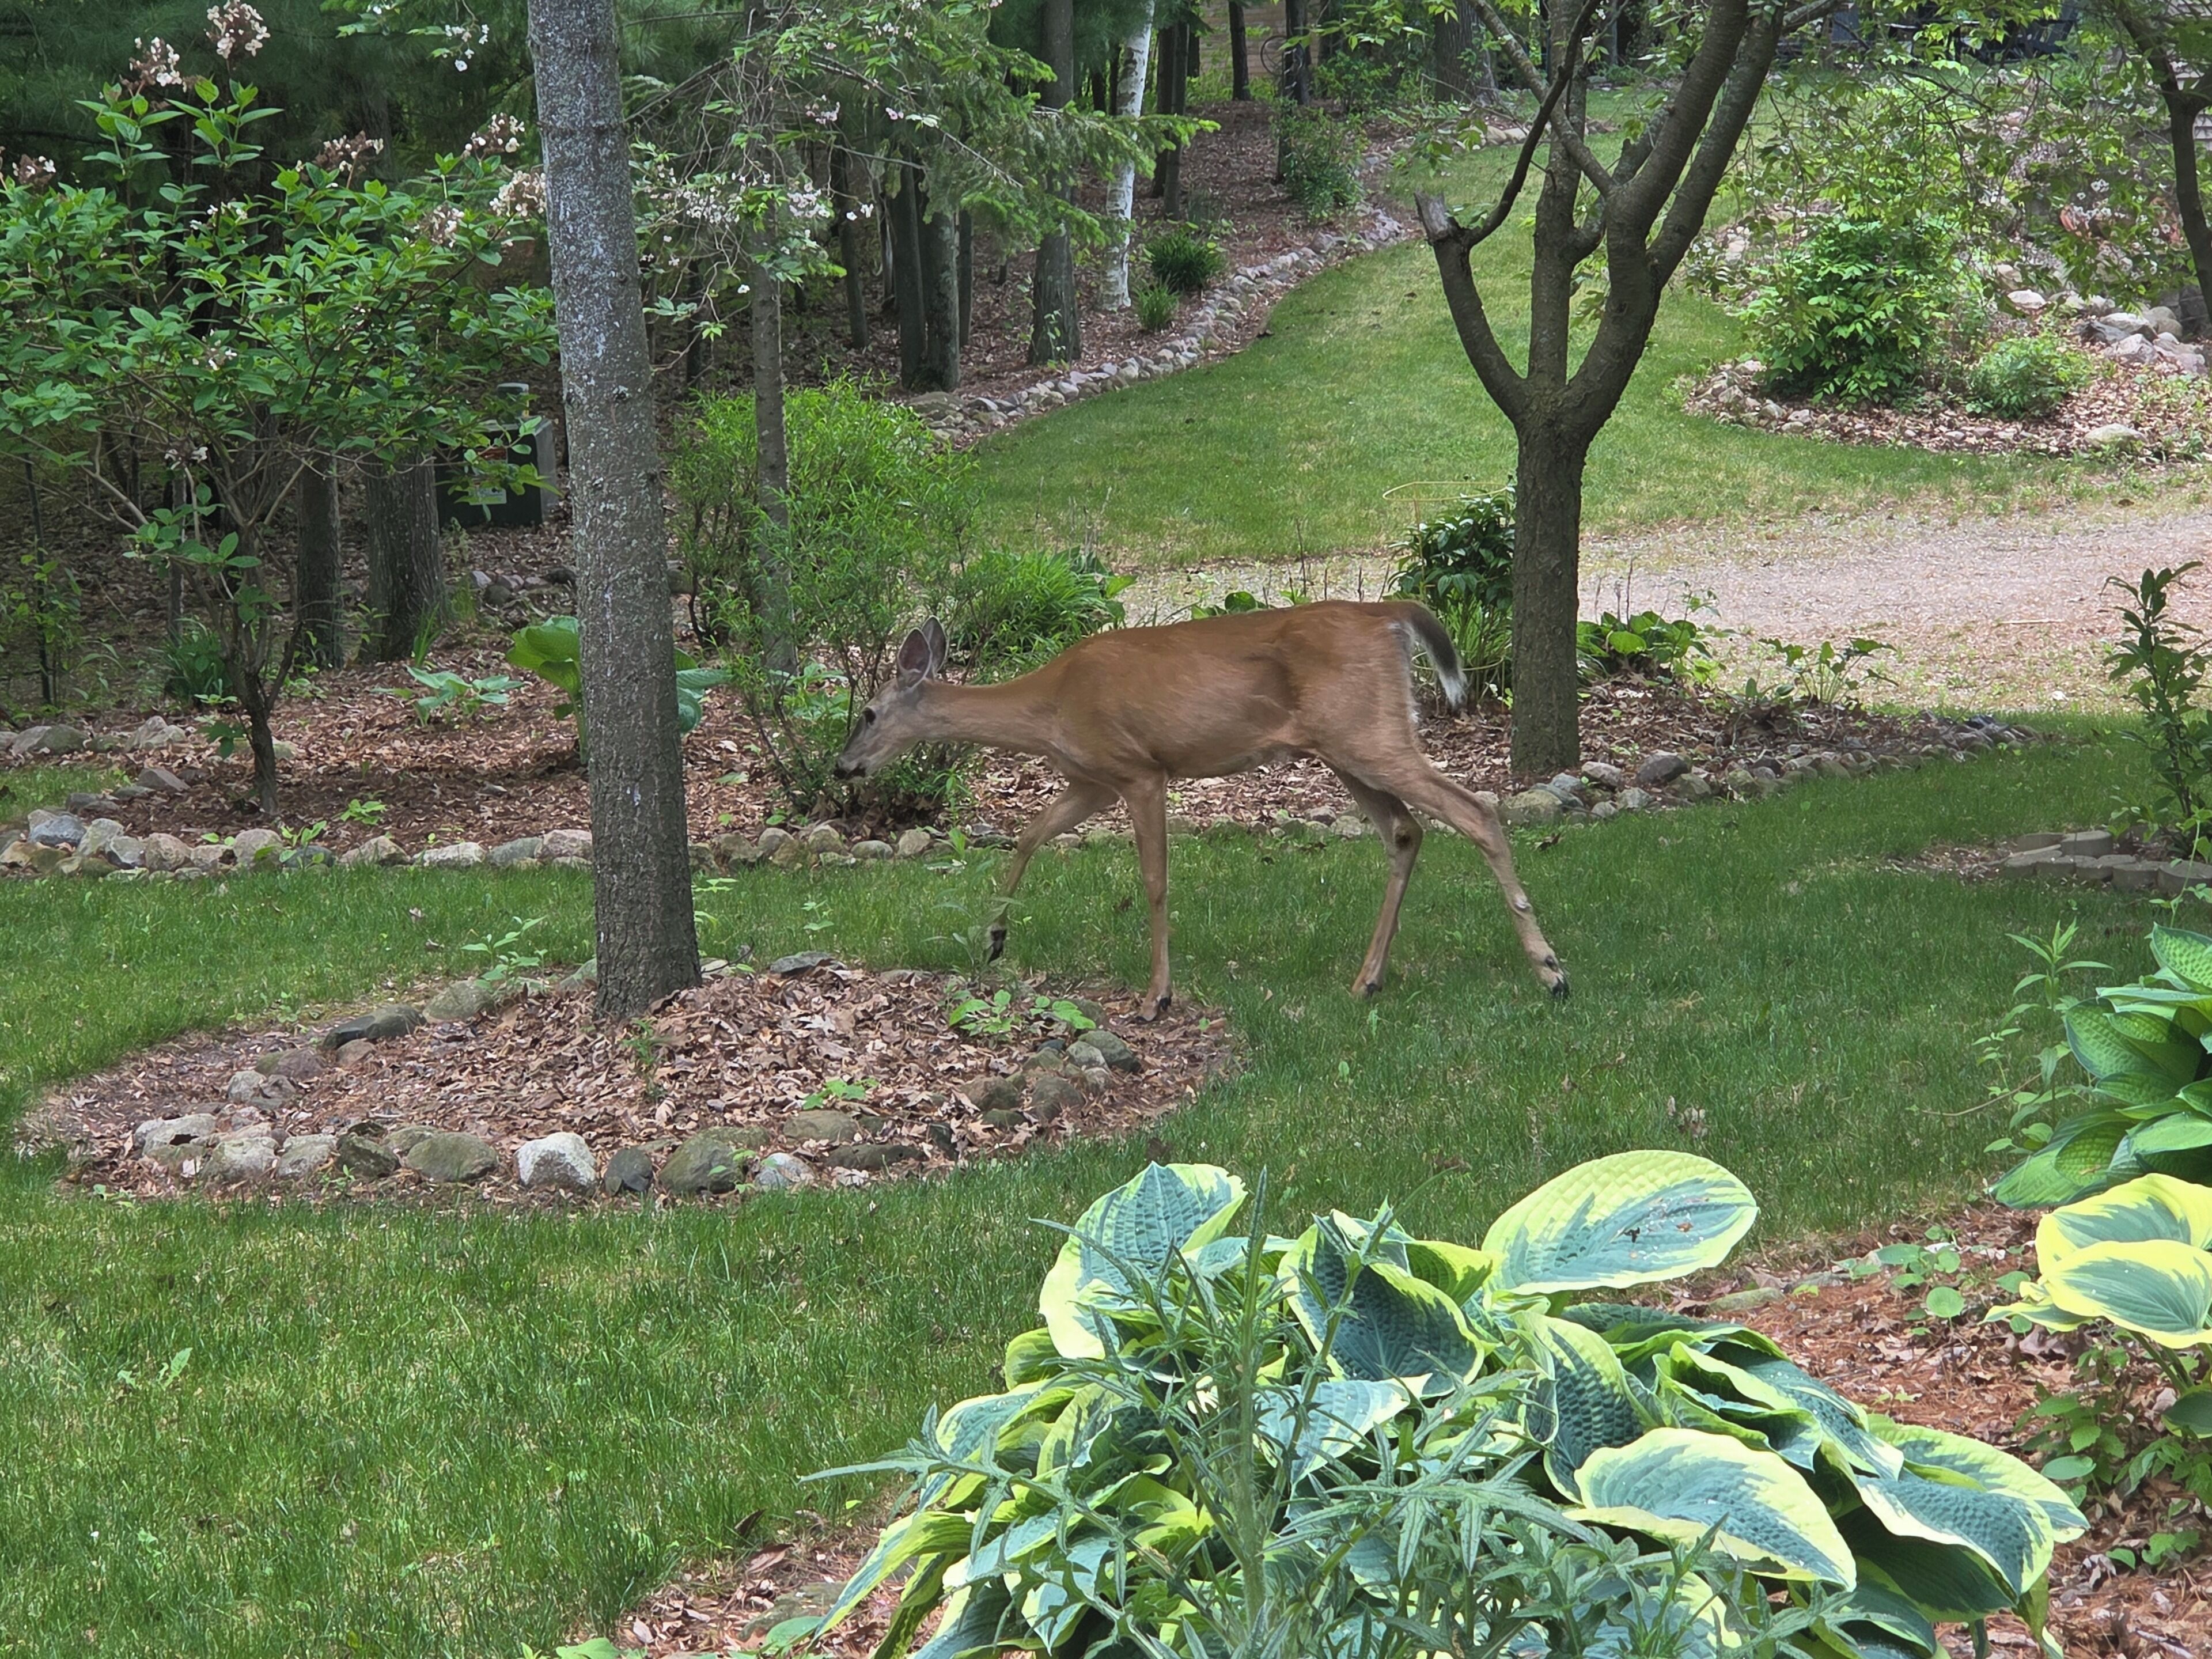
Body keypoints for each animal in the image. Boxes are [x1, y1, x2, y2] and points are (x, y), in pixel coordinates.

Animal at [832, 603, 1568, 1020]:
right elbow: (1029, 835)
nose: (842, 767)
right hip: (1344, 743)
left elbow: (1155, 881)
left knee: (1477, 811)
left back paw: (1550, 971)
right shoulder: (1092, 780)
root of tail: (1390, 615)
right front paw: (993, 937)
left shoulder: (1140, 770)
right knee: (1407, 830)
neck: (1051, 706)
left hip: (1366, 732)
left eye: (867, 713)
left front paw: (1156, 997)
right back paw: (1367, 982)